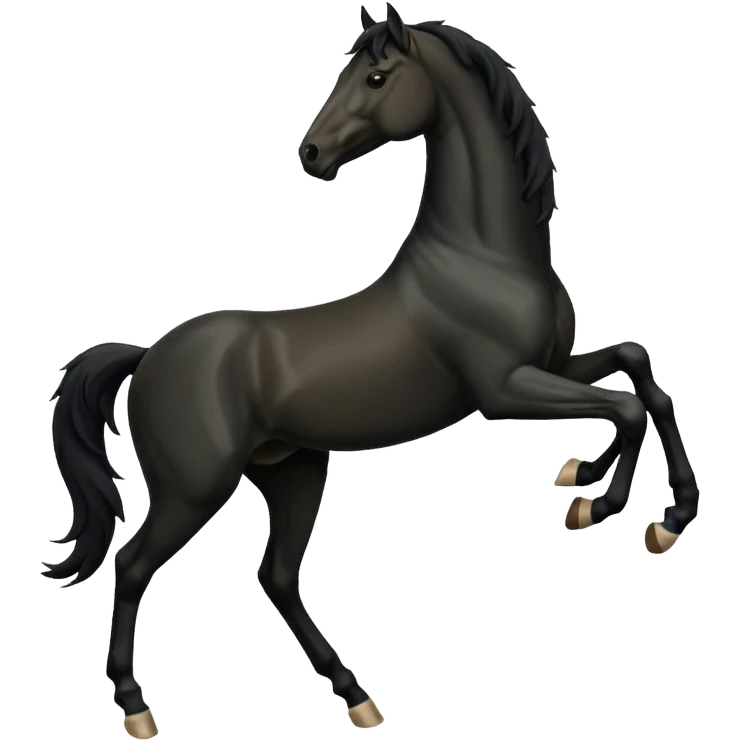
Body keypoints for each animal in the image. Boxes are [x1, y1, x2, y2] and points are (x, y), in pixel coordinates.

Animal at [44, 4, 701, 738]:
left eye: (377, 76)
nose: (310, 153)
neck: (484, 254)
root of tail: (147, 356)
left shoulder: (552, 365)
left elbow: (638, 373)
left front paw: (626, 496)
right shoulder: (504, 390)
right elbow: (626, 405)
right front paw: (600, 505)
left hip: (294, 471)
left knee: (276, 577)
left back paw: (358, 696)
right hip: (193, 488)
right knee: (132, 566)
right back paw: (138, 708)